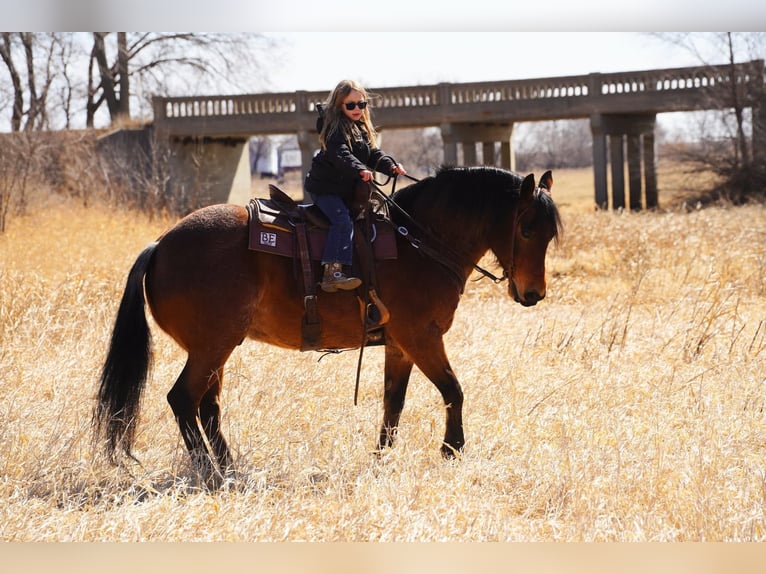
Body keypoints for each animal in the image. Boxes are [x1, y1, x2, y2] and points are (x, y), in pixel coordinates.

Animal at [94, 165, 564, 476]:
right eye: (525, 230)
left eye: (548, 234)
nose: (533, 294)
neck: (416, 242)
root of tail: (160, 245)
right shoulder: (422, 337)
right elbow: (453, 391)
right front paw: (452, 449)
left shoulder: (400, 345)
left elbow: (393, 402)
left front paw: (382, 456)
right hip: (212, 346)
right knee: (183, 399)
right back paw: (212, 471)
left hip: (216, 348)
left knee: (206, 406)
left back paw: (229, 465)